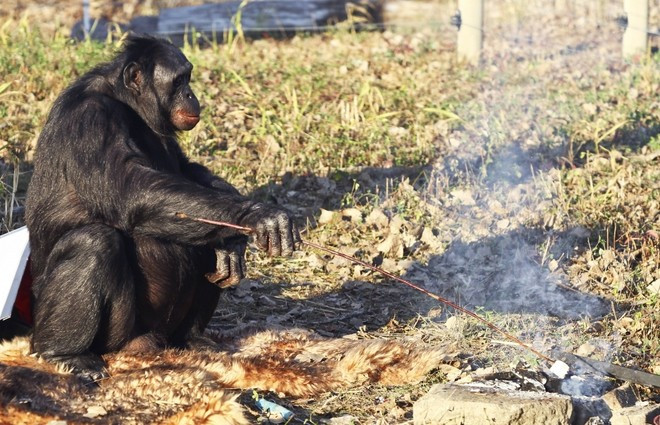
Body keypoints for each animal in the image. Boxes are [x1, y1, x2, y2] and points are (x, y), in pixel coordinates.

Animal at [23, 35, 300, 380]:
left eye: (188, 77)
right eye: (179, 80)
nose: (191, 94)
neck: (128, 105)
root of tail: (148, 343)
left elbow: (184, 170)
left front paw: (234, 238)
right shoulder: (91, 120)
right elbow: (130, 187)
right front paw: (256, 216)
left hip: (164, 329)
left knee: (201, 234)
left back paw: (193, 338)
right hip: (115, 337)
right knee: (92, 242)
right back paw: (66, 353)